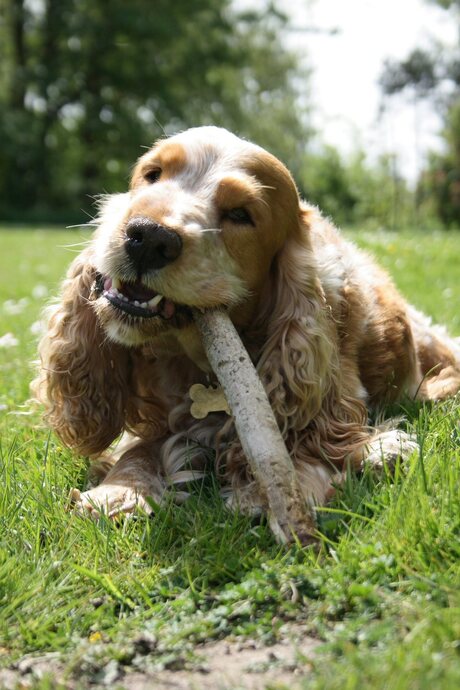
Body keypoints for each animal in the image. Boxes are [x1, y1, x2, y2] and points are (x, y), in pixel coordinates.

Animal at [32, 126, 460, 520]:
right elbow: (136, 451)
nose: (149, 237)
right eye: (152, 174)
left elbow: (314, 437)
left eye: (241, 214)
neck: (196, 365)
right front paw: (119, 489)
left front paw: (277, 487)